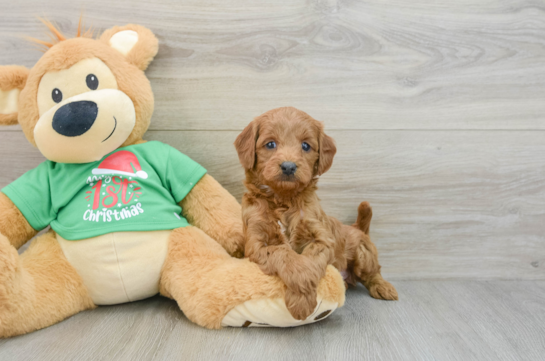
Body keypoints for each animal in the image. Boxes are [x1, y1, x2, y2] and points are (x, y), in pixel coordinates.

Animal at [233, 106, 396, 318]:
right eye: (270, 144)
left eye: (305, 146)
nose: (288, 166)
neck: (284, 199)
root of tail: (358, 227)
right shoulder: (256, 242)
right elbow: (282, 251)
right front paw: (300, 285)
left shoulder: (322, 237)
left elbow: (310, 257)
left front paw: (302, 294)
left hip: (363, 254)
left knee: (373, 273)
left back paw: (384, 287)